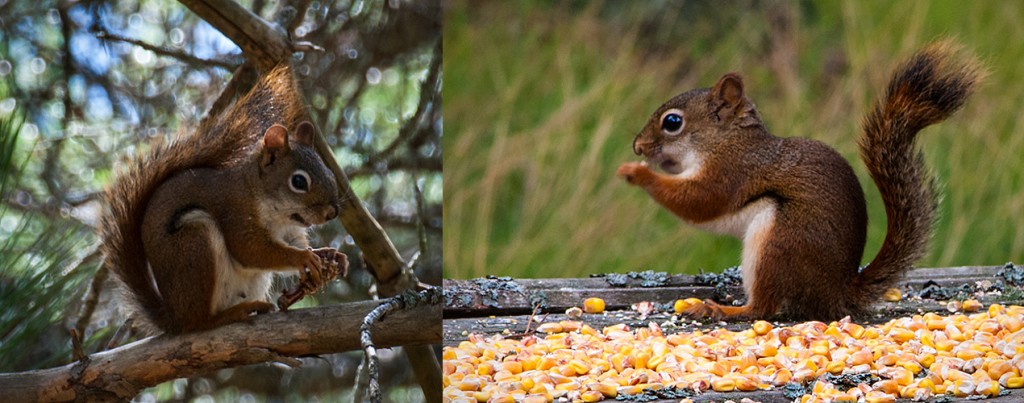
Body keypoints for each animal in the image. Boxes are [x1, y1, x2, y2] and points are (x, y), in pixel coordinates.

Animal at [614, 39, 983, 319]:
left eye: (672, 122)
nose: (637, 146)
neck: (727, 140)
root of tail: (836, 294)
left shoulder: (732, 171)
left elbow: (700, 201)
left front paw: (637, 172)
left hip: (779, 244)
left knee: (763, 308)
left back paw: (722, 309)